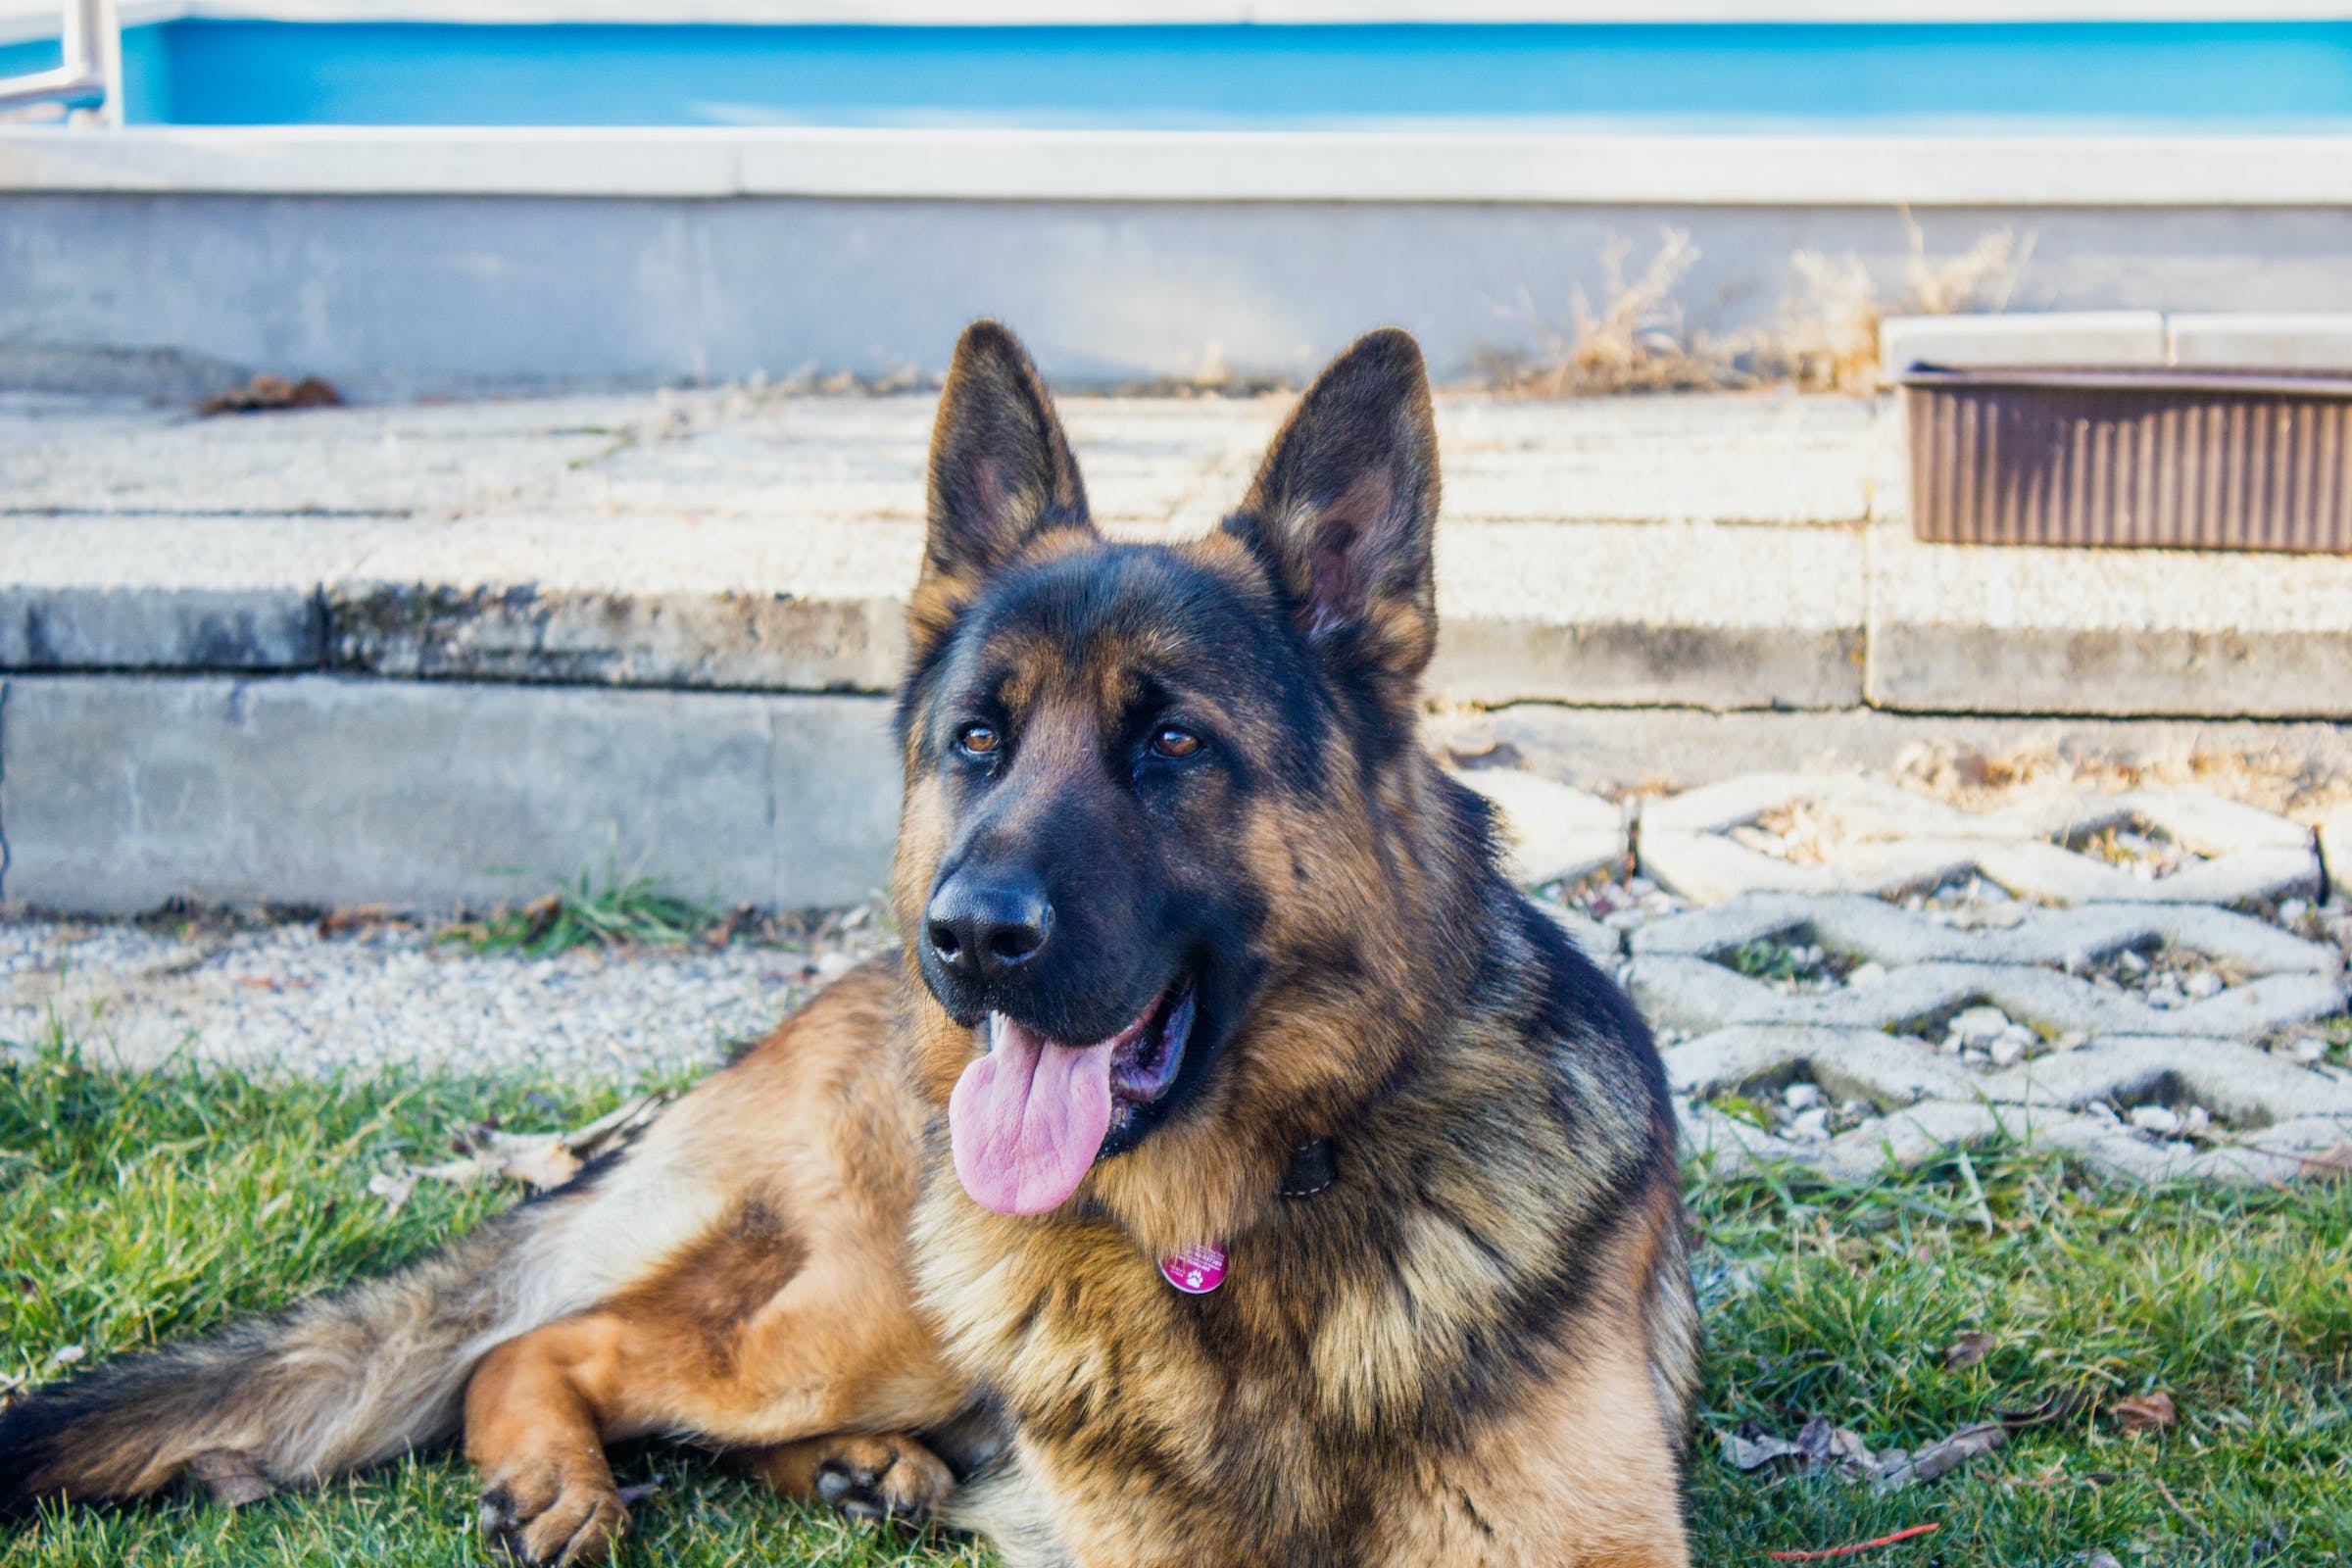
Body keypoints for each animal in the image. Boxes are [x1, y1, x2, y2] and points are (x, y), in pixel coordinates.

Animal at [0, 324, 1693, 1560]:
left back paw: (858, 1473)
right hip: (878, 1309)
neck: (1241, 1223)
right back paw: (571, 1476)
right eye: (978, 740)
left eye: (1172, 744)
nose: (972, 938)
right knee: (544, 1345)